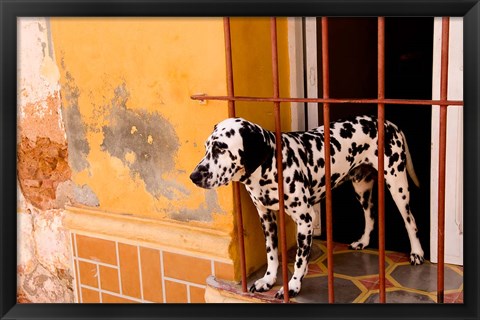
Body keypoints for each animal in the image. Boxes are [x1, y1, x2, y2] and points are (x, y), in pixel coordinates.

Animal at [189, 115, 426, 300]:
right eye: (206, 147)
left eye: (221, 148)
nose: (194, 176)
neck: (272, 166)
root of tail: (388, 123)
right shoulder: (266, 219)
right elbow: (272, 254)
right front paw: (268, 279)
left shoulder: (305, 219)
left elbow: (300, 259)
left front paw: (293, 286)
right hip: (362, 187)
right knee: (370, 215)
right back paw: (364, 241)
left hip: (397, 185)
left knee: (410, 221)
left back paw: (417, 253)